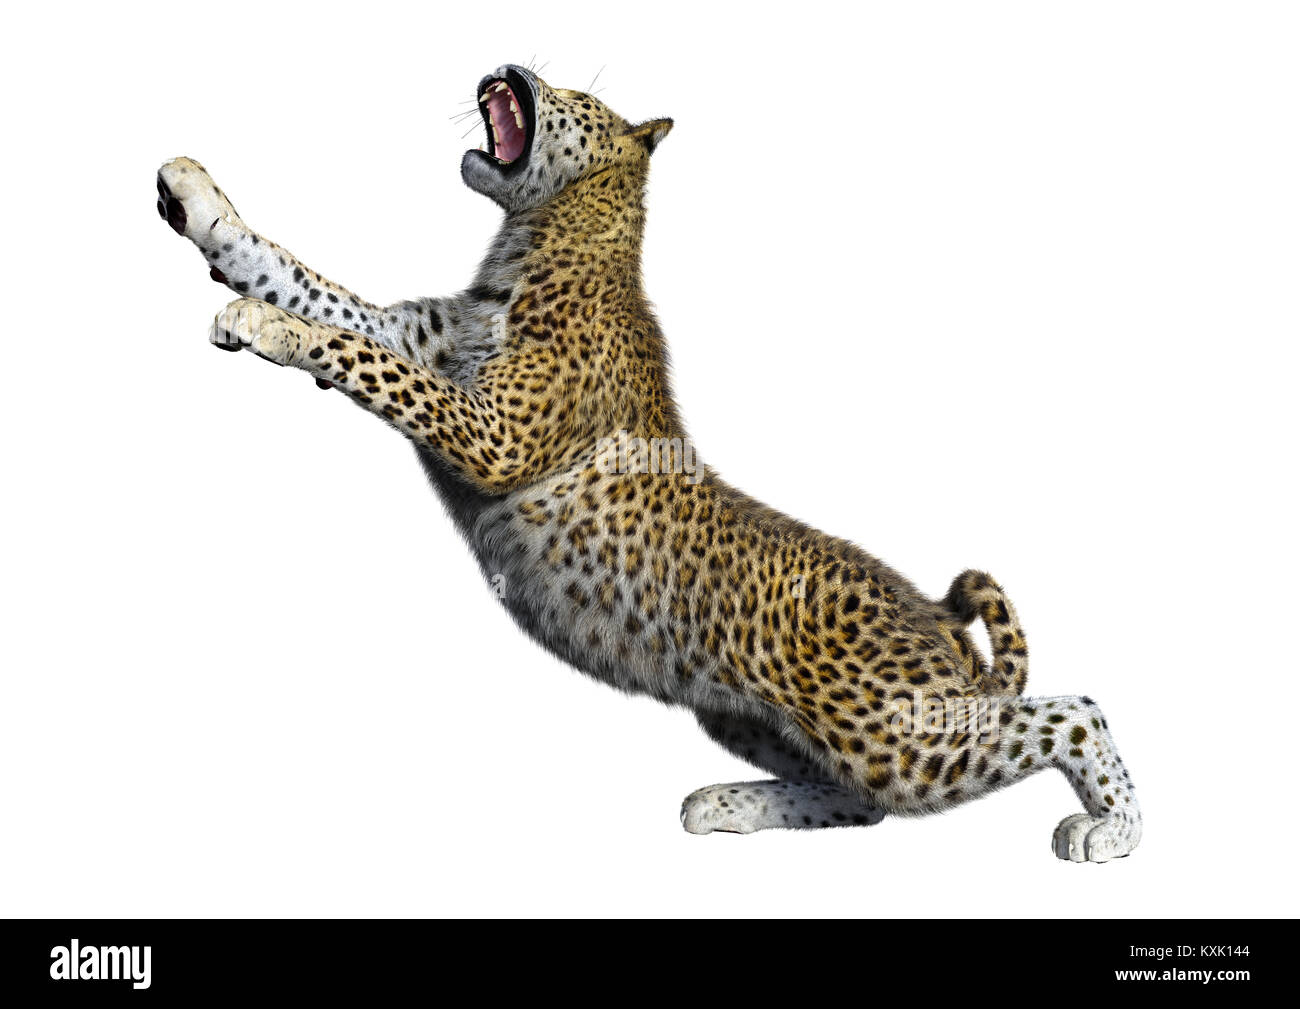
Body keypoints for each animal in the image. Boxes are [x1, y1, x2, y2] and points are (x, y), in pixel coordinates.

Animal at [157, 63, 1140, 862]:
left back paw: (1111, 828)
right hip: (758, 717)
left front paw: (270, 328)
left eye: (577, 97)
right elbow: (302, 277)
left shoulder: (489, 431)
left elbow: (355, 351)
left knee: (1070, 712)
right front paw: (203, 207)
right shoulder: (424, 342)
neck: (536, 237)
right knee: (863, 804)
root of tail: (936, 623)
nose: (512, 65)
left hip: (896, 732)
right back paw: (728, 805)